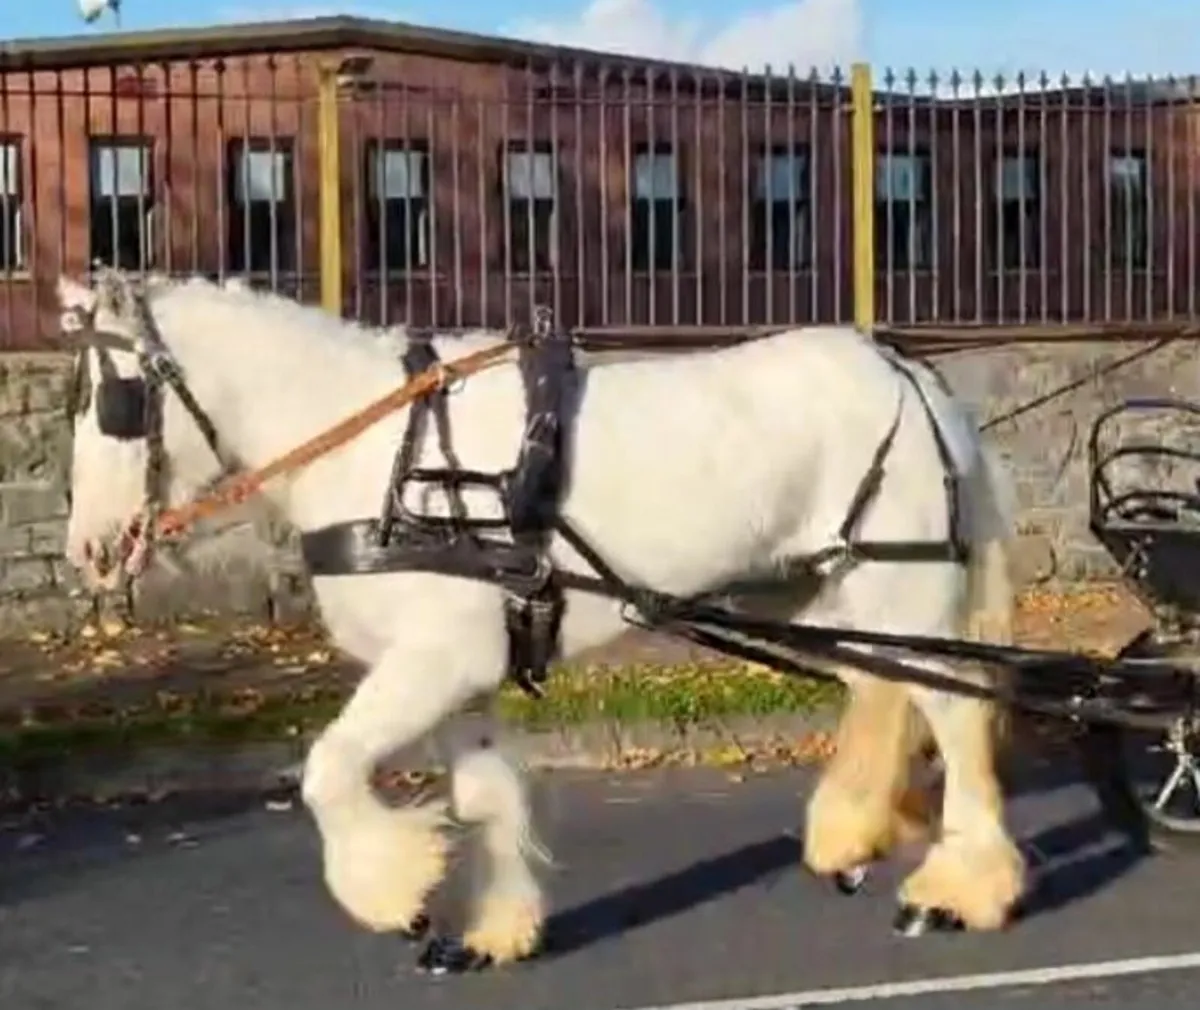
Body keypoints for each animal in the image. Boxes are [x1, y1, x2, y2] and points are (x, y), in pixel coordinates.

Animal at [55, 269, 1026, 974]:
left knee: (952, 703)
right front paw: (491, 932)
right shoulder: (462, 672)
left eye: (116, 404)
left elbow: (328, 769)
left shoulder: (435, 659)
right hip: (822, 586)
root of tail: (906, 370)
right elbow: (484, 794)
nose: (90, 551)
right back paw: (853, 832)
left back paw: (960, 889)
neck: (385, 455)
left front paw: (396, 892)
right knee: (883, 684)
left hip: (899, 576)